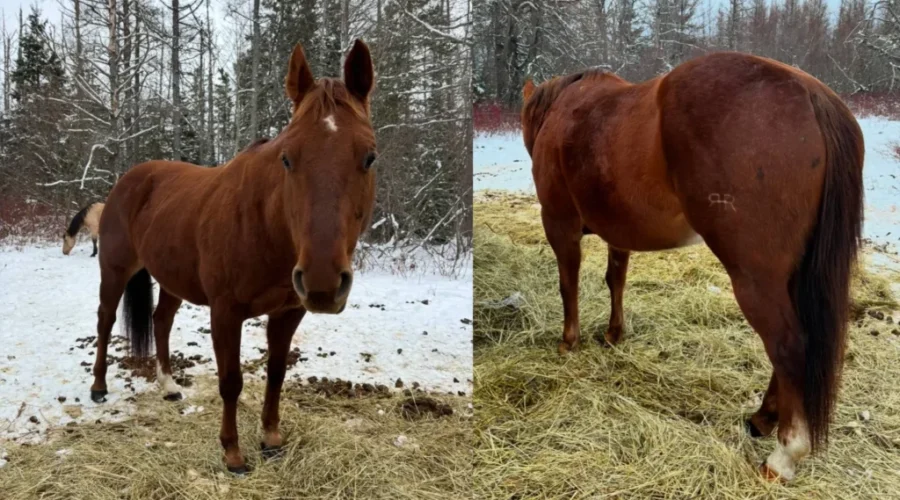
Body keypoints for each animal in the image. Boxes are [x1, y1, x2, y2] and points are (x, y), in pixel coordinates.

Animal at [89, 40, 377, 474]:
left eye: (370, 157)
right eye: (287, 158)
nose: (323, 282)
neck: (265, 226)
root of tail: (130, 178)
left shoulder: (289, 311)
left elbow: (276, 373)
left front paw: (271, 438)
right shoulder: (225, 312)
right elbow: (231, 381)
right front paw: (233, 453)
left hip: (173, 279)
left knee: (160, 321)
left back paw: (169, 385)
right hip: (115, 269)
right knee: (105, 320)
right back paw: (99, 387)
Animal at [521, 52, 863, 481]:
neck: (567, 112)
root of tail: (812, 94)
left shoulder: (559, 224)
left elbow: (569, 285)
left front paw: (569, 341)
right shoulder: (619, 233)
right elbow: (616, 280)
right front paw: (614, 334)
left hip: (755, 279)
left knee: (787, 346)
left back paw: (784, 455)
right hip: (791, 276)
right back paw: (763, 419)